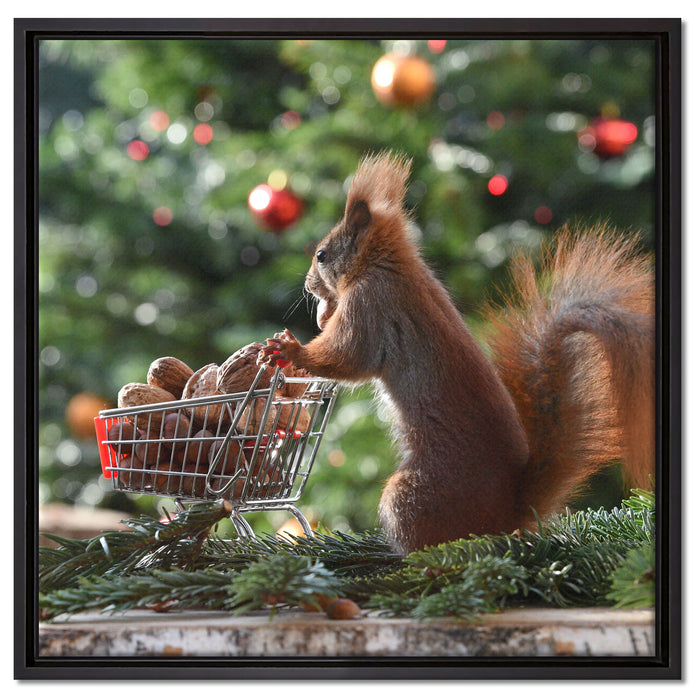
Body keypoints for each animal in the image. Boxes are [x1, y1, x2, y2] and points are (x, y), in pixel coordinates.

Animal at [260, 152, 655, 553]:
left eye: (321, 255)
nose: (309, 286)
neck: (389, 265)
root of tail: (509, 512)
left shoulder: (371, 304)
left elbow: (347, 357)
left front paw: (291, 349)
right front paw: (321, 317)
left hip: (410, 496)